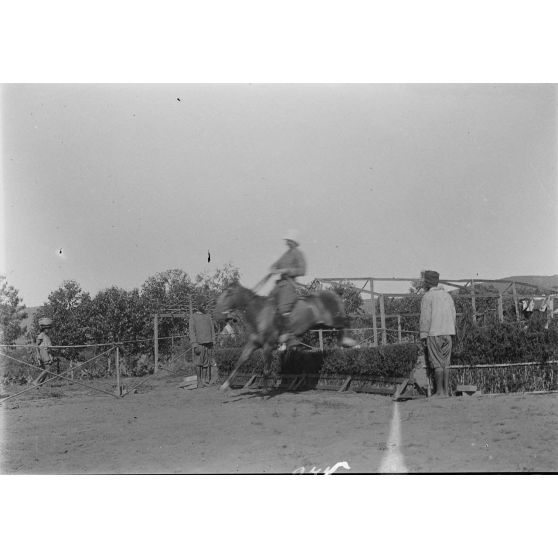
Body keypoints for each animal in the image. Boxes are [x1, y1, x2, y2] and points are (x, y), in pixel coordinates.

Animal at [212, 284, 356, 394]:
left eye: (227, 296)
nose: (217, 315)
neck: (259, 314)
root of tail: (333, 294)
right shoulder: (253, 344)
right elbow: (240, 361)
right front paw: (225, 385)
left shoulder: (268, 346)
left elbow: (266, 369)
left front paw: (265, 391)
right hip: (322, 324)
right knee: (340, 327)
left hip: (332, 319)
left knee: (346, 322)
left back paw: (349, 341)